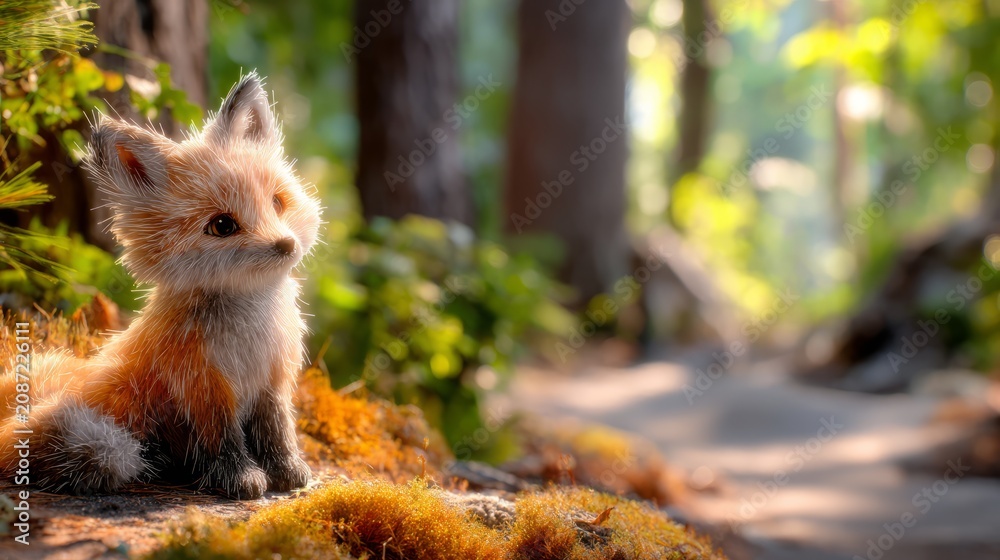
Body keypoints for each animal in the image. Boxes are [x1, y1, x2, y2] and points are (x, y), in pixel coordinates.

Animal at [0, 72, 322, 499]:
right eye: (223, 225)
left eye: (277, 203)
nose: (286, 245)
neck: (249, 334)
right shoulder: (204, 389)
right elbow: (223, 441)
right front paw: (240, 479)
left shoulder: (272, 380)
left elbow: (277, 431)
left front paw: (288, 473)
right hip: (102, 438)